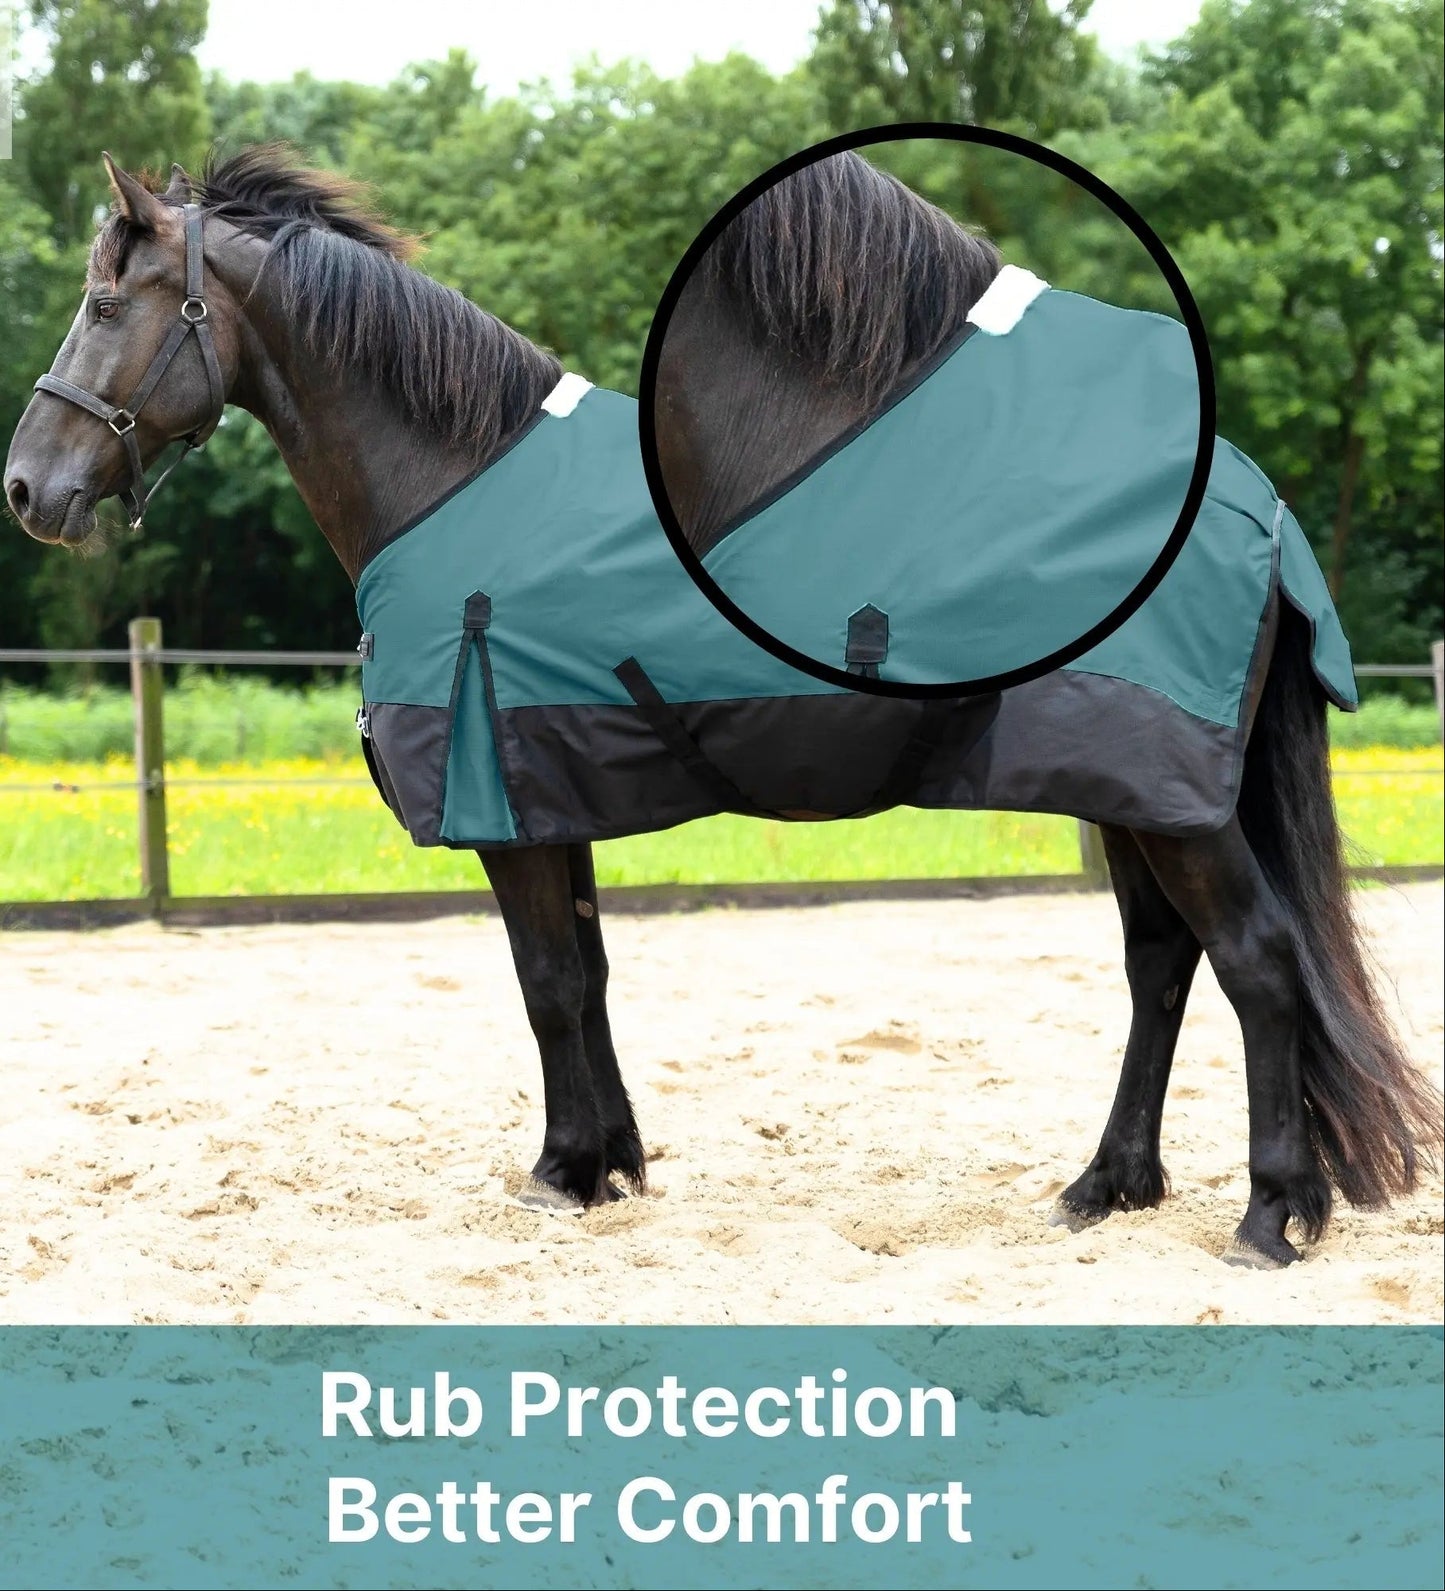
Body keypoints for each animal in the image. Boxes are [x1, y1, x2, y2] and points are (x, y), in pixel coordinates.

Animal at [5, 147, 1439, 1269]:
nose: (28, 487)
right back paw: (1103, 1189)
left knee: (1254, 962)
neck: (452, 477)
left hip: (1167, 797)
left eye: (103, 301)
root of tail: (1248, 498)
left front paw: (560, 1172)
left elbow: (543, 983)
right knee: (1161, 965)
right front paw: (611, 1164)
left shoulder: (506, 805)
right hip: (1130, 791)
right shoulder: (551, 793)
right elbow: (584, 975)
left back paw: (1269, 1218)